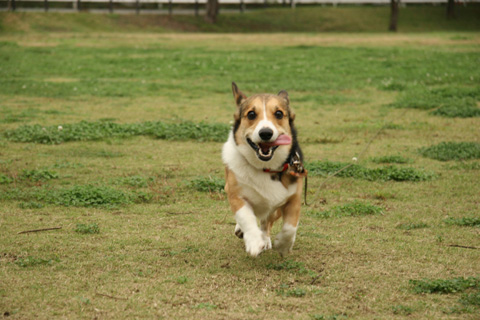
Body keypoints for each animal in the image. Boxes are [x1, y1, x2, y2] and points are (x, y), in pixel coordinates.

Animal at [220, 82, 304, 258]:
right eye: (251, 114)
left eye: (279, 113)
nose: (266, 133)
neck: (265, 168)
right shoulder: (235, 194)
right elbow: (246, 217)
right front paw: (253, 242)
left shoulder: (294, 198)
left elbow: (290, 227)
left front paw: (283, 245)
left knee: (266, 223)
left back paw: (265, 239)